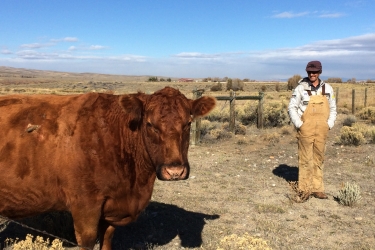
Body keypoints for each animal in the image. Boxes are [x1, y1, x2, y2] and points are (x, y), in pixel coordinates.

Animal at [0, 87, 216, 249]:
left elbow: (107, 239)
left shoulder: (112, 210)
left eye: (188, 123)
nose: (175, 171)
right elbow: (87, 241)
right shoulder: (85, 206)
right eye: (150, 124)